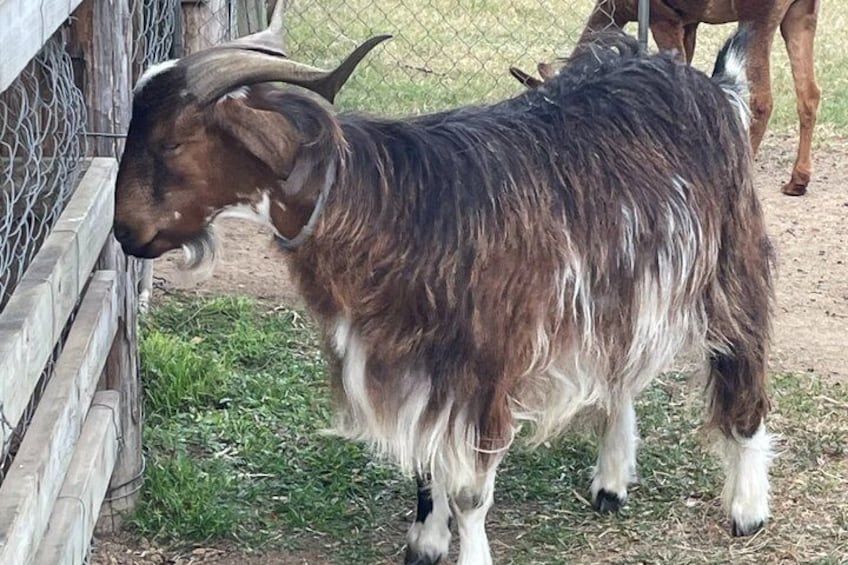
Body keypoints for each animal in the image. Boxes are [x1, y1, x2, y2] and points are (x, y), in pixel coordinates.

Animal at [112, 14, 775, 564]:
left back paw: (746, 508)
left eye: (172, 142)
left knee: (743, 370)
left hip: (730, 263)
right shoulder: (416, 367)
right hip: (621, 288)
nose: (124, 232)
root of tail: (715, 88)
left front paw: (467, 553)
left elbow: (468, 492)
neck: (398, 207)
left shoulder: (482, 370)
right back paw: (610, 483)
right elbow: (426, 468)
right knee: (623, 373)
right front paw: (425, 544)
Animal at [562, 0, 821, 196]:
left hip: (757, 15)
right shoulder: (689, 22)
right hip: (801, 14)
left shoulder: (663, 17)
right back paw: (797, 181)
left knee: (761, 99)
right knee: (809, 94)